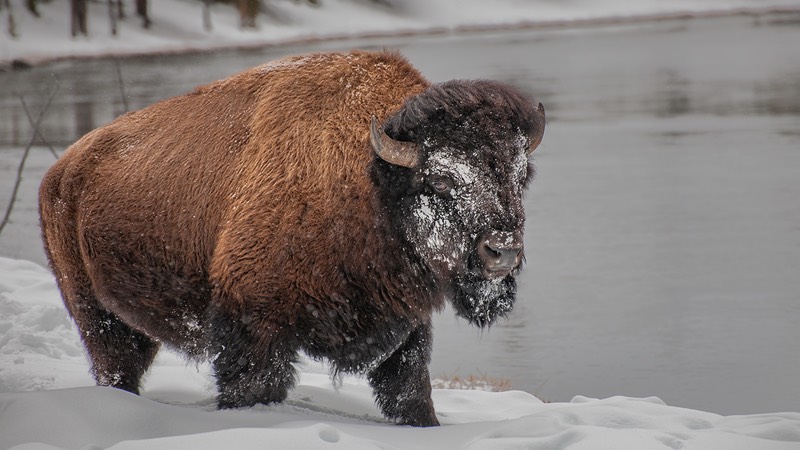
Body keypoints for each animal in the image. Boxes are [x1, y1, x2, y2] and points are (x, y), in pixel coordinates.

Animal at [40, 49, 548, 426]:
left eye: (521, 176)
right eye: (440, 180)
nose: (501, 252)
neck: (369, 183)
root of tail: (60, 173)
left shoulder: (405, 330)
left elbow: (409, 393)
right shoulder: (253, 325)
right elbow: (253, 386)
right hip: (95, 315)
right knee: (114, 364)